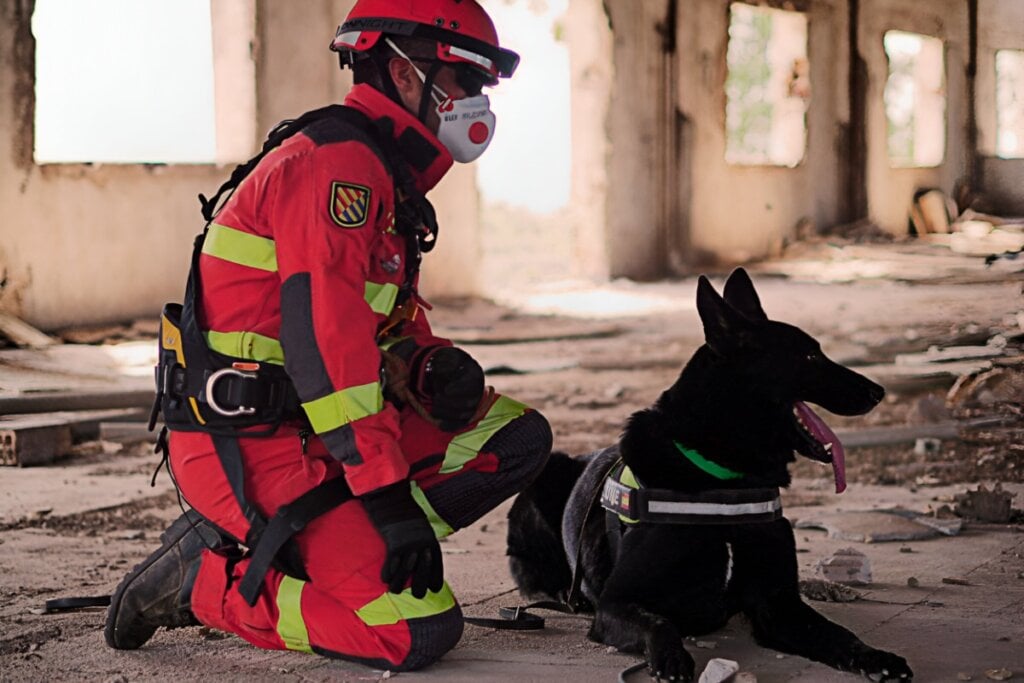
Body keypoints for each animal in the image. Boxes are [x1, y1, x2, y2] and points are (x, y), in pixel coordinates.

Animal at [507, 270, 917, 679]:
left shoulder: (780, 604)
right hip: (546, 473)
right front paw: (671, 659)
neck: (724, 481)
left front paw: (875, 657)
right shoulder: (616, 602)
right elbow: (660, 623)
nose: (878, 391)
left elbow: (837, 633)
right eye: (810, 355)